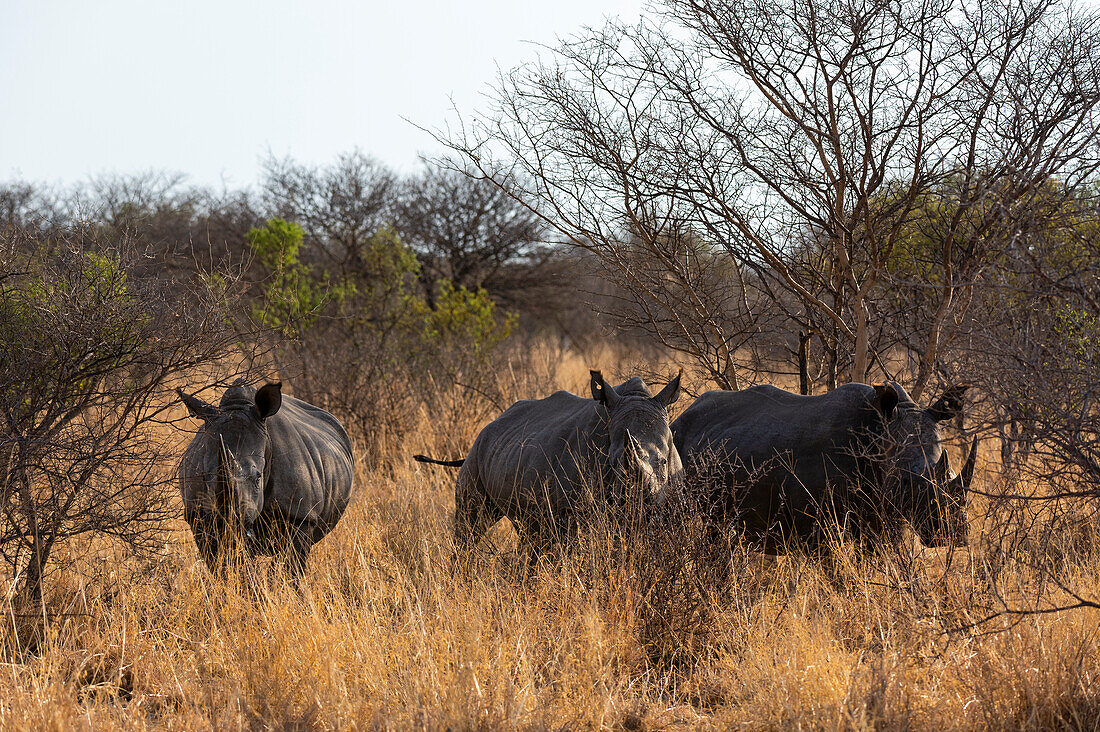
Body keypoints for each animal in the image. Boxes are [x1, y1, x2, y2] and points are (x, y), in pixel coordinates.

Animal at [178, 378, 354, 572]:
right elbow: (225, 567)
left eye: (258, 477)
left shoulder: (301, 517)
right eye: (204, 475)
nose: (227, 530)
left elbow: (289, 566)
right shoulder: (197, 516)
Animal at [415, 372, 682, 554]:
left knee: (529, 532)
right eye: (613, 462)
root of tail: (491, 424)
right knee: (471, 525)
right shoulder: (571, 514)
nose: (640, 502)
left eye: (664, 462)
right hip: (477, 452)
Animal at [668, 378, 981, 550]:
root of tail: (682, 414)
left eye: (949, 471)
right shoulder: (821, 528)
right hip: (677, 442)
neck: (879, 433)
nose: (952, 535)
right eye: (906, 482)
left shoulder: (886, 517)